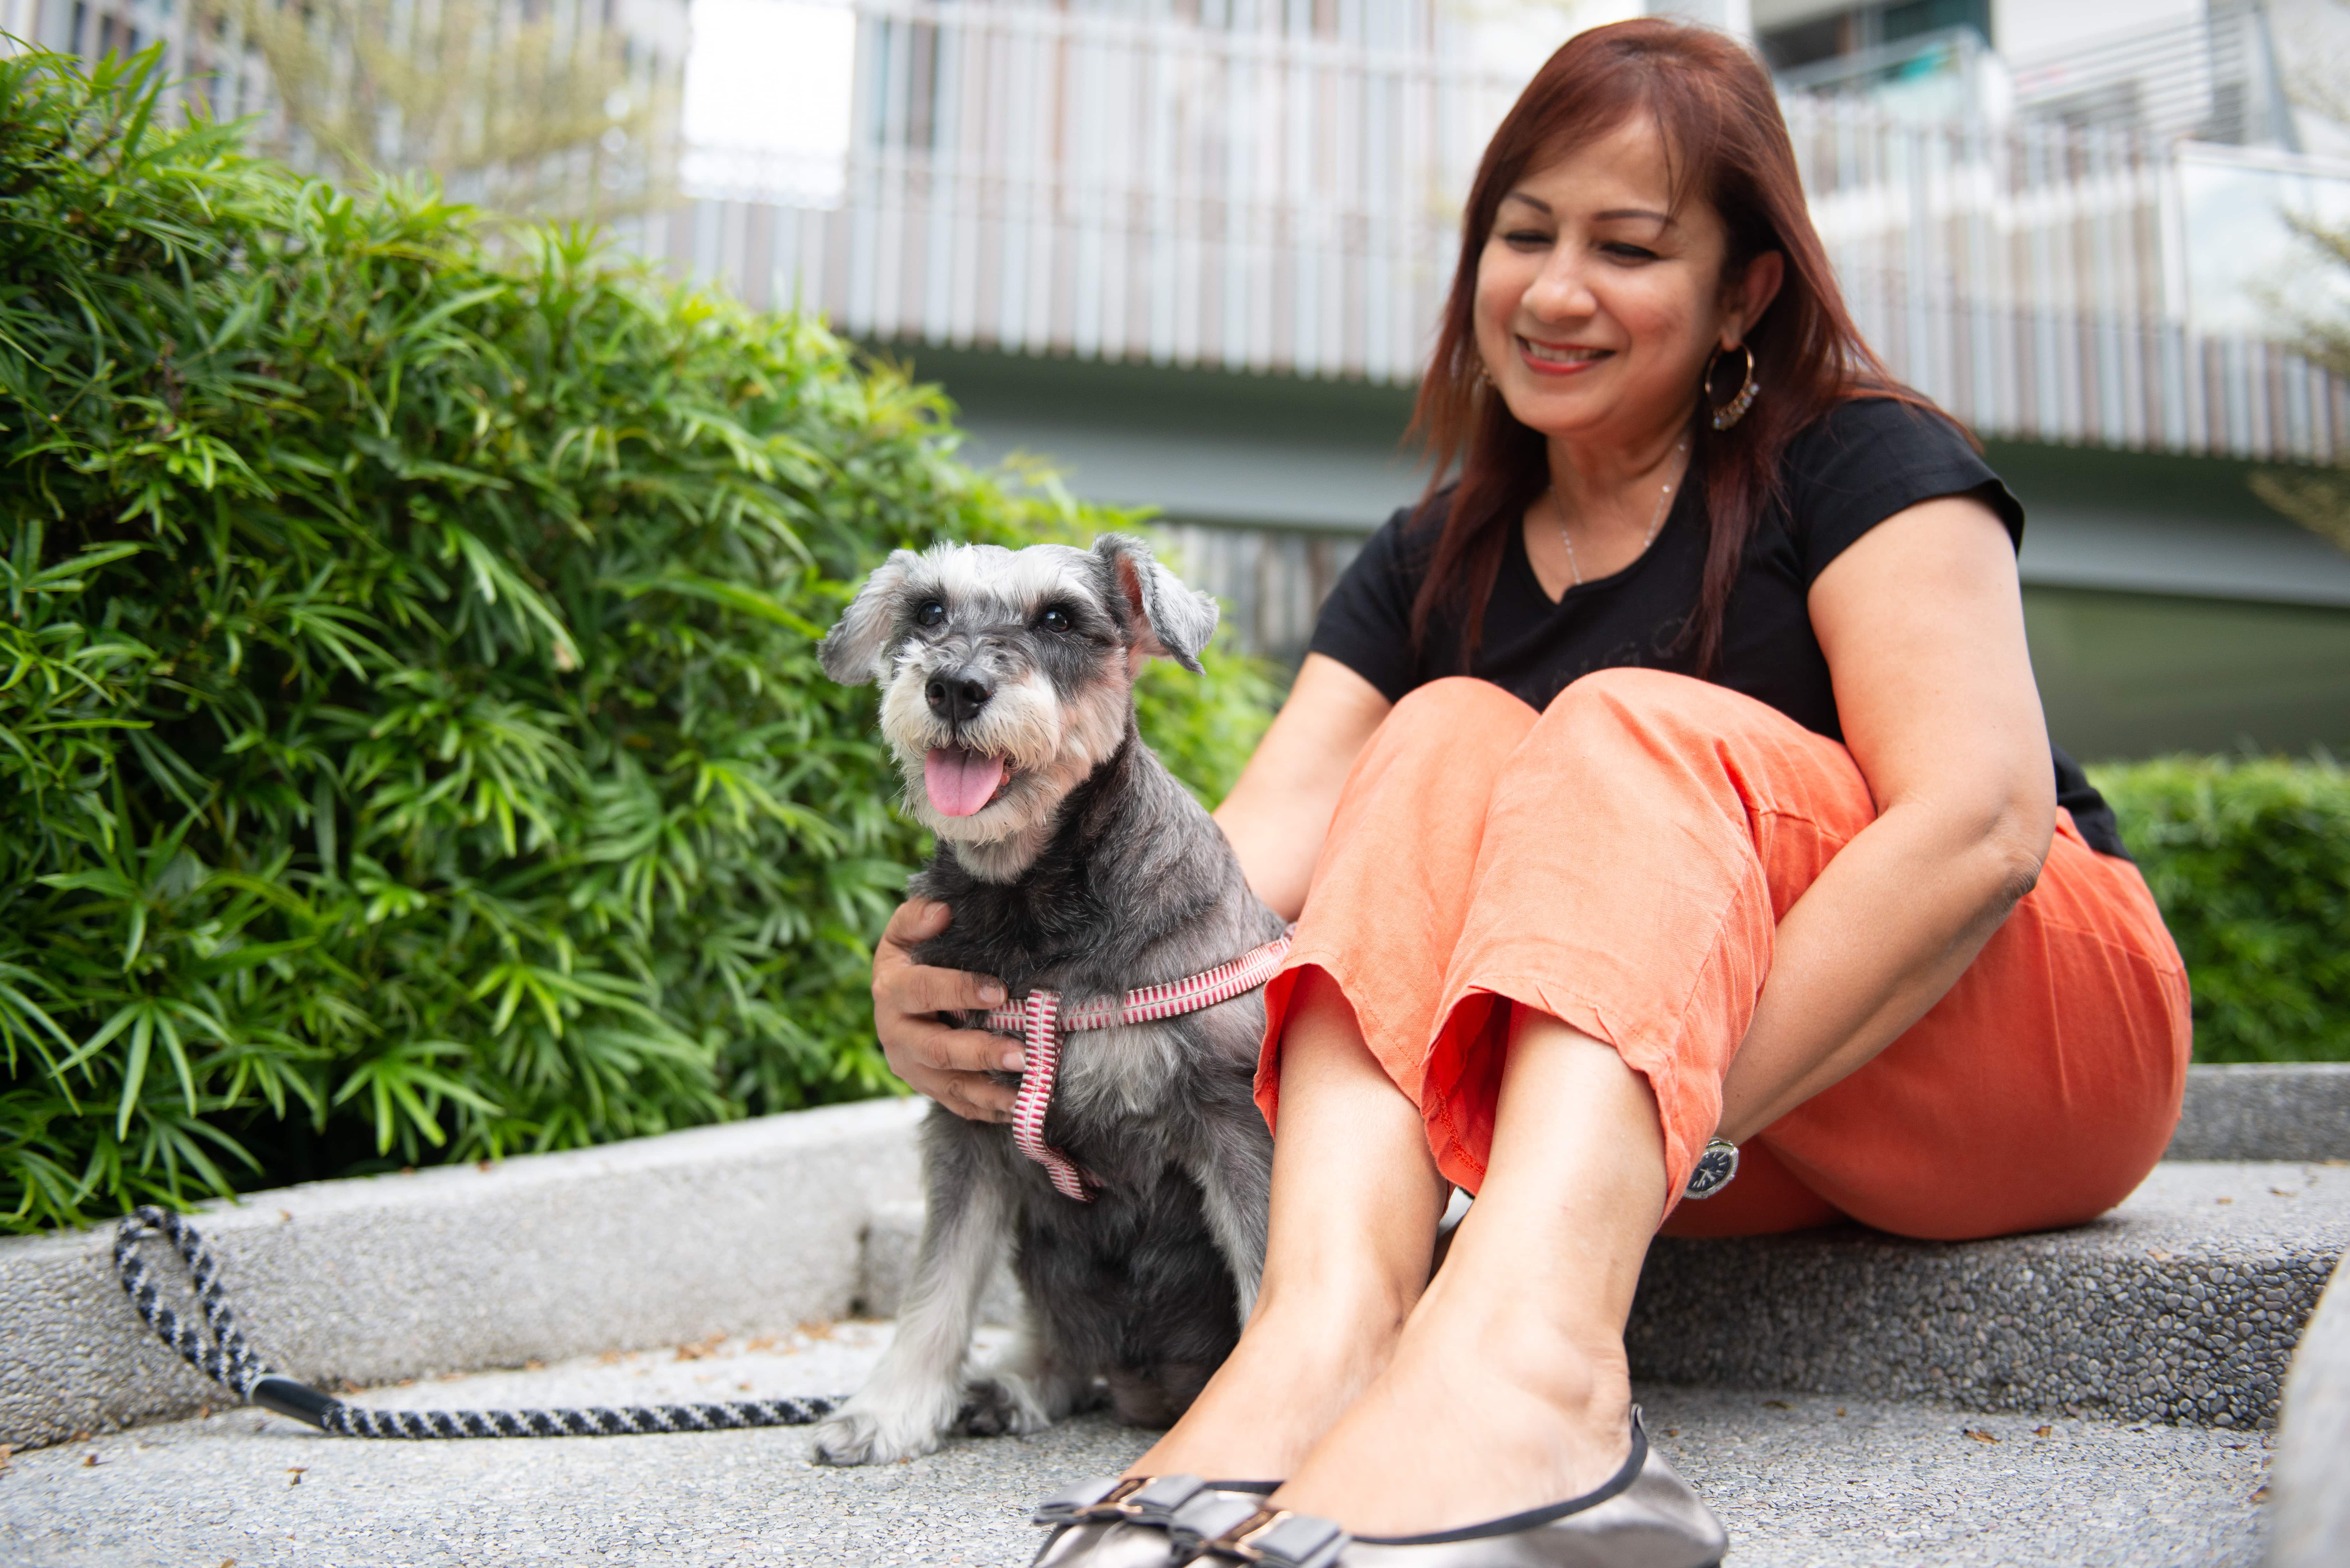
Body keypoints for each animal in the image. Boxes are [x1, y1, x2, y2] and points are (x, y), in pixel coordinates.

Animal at [808, 533, 1288, 1467]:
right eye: (928, 610)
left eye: (1060, 618)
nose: (954, 687)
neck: (1034, 911)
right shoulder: (969, 1130)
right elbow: (940, 1277)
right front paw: (888, 1410)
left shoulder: (1232, 1124)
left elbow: (1263, 1271)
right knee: (1063, 1342)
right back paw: (1013, 1383)